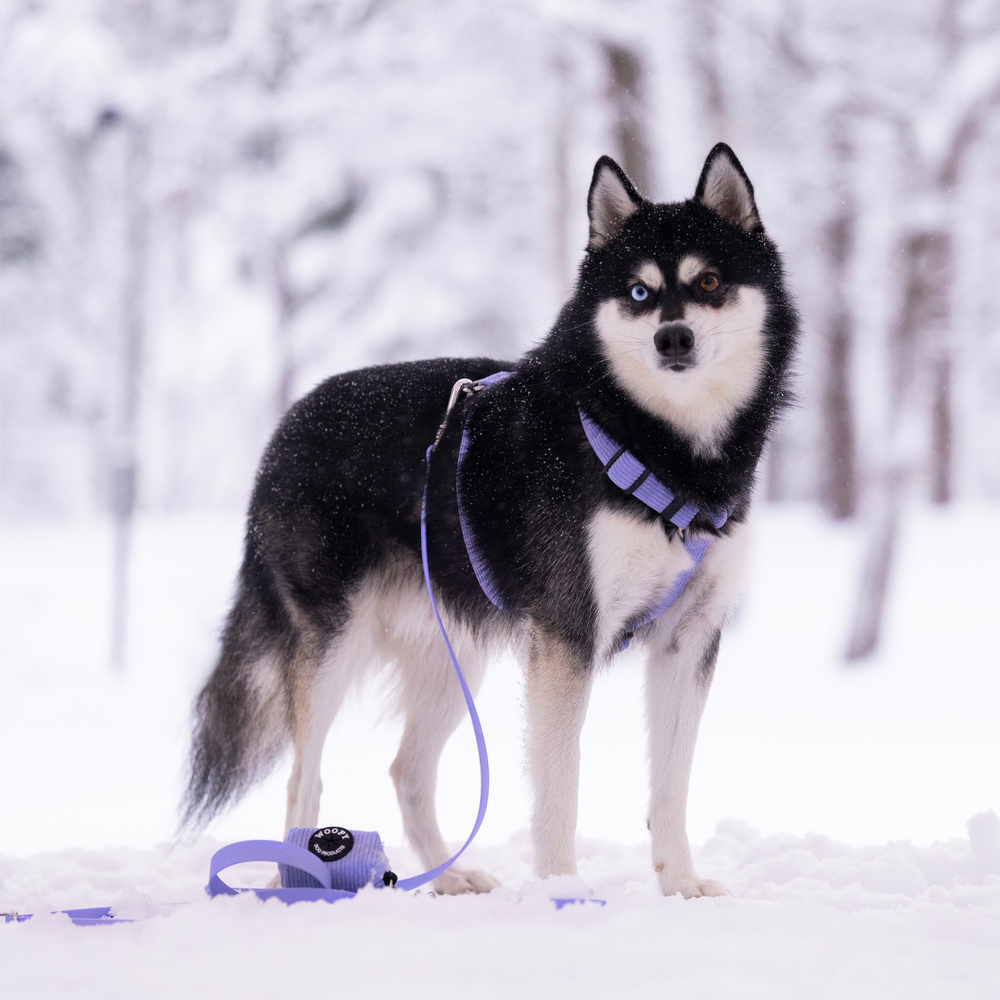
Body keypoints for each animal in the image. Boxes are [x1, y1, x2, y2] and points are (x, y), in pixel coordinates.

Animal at [184, 143, 796, 900]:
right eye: (639, 293)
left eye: (709, 281)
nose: (672, 337)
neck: (658, 448)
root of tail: (287, 427)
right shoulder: (566, 637)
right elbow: (560, 788)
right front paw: (562, 891)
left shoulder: (689, 641)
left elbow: (670, 789)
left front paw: (679, 886)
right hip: (333, 645)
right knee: (306, 778)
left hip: (453, 657)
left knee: (406, 771)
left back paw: (447, 879)